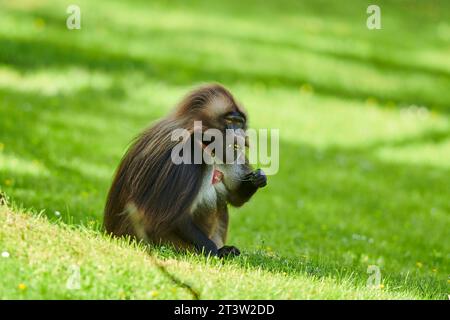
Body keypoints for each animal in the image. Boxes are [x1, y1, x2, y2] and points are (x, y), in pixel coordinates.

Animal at [104, 83, 268, 258]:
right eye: (230, 121)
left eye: (239, 123)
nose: (240, 135)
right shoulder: (187, 151)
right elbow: (173, 216)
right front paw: (216, 252)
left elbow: (234, 197)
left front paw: (258, 178)